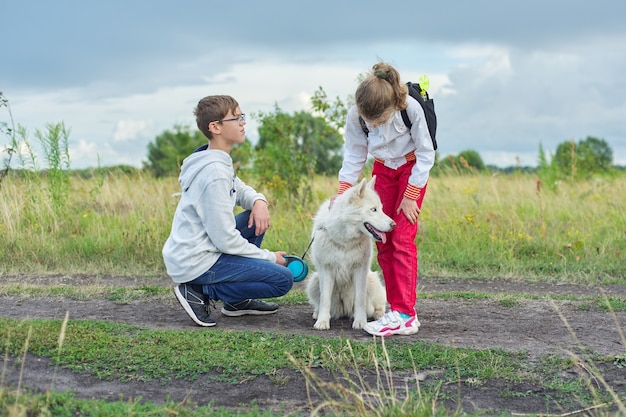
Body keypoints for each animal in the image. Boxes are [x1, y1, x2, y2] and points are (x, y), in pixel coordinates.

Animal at [306, 176, 394, 328]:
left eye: (382, 209)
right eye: (374, 209)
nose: (394, 224)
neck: (344, 241)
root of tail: (343, 311)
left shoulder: (360, 270)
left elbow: (360, 299)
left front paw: (360, 321)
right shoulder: (325, 270)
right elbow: (325, 299)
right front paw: (322, 322)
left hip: (372, 281)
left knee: (378, 305)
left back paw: (379, 315)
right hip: (314, 281)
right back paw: (317, 313)